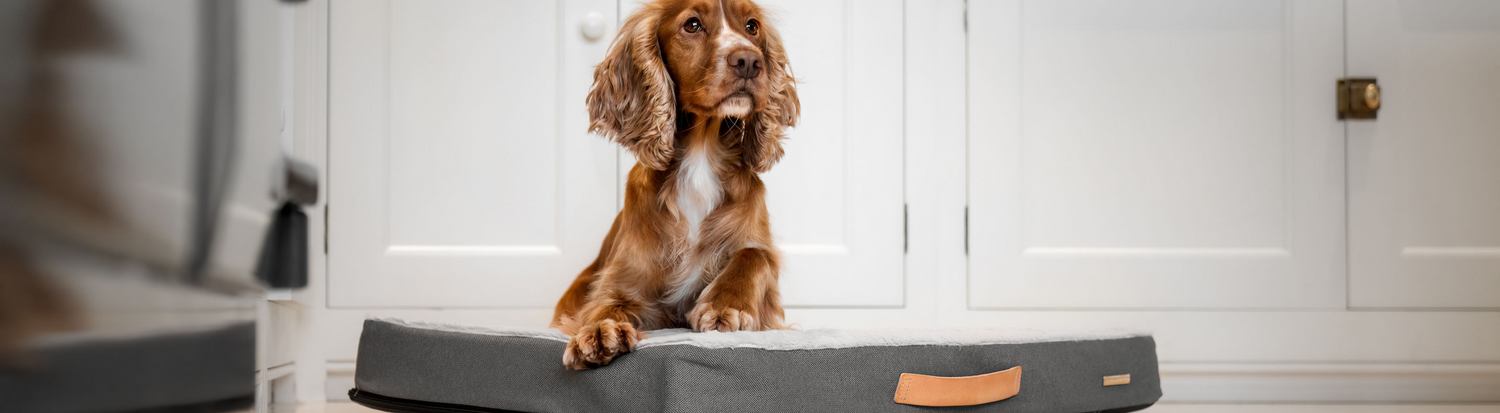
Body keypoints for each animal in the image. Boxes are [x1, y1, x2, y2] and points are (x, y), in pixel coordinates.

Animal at [552, 0, 804, 370]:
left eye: (752, 26)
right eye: (692, 24)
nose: (749, 61)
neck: (701, 154)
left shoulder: (761, 260)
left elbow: (755, 254)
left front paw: (725, 305)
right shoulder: (625, 284)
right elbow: (606, 304)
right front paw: (600, 331)